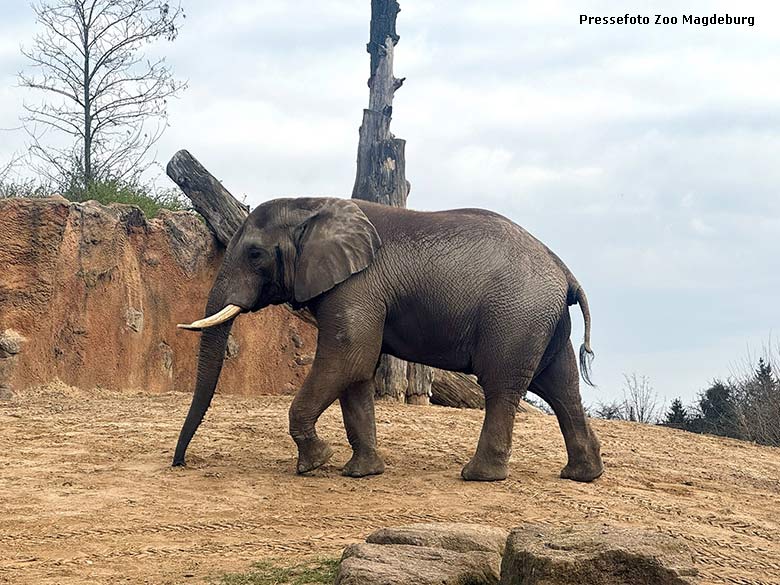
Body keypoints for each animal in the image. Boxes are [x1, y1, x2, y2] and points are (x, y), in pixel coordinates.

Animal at [175, 198, 604, 482]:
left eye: (255, 254)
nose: (179, 463)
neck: (311, 206)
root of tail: (565, 272)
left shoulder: (356, 286)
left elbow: (349, 358)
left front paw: (315, 463)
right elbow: (356, 372)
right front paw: (360, 473)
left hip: (515, 315)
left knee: (503, 385)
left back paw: (478, 476)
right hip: (539, 319)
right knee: (561, 386)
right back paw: (582, 474)